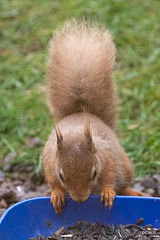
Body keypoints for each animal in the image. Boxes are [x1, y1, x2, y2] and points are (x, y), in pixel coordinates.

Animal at [42, 20, 144, 215]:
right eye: (61, 175)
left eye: (94, 173)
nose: (80, 200)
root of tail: (82, 113)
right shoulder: (50, 162)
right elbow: (52, 179)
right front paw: (57, 194)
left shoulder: (107, 157)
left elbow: (109, 176)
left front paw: (107, 192)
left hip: (125, 168)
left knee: (123, 184)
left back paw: (132, 192)